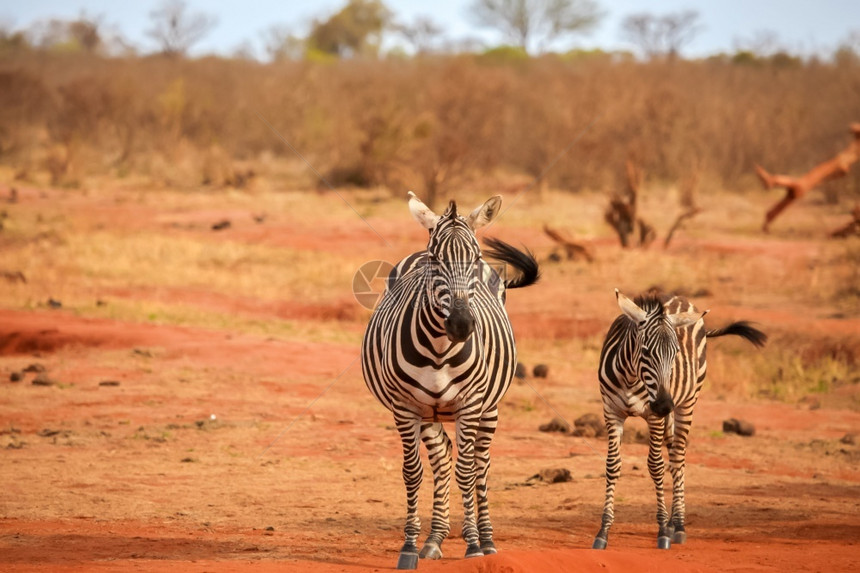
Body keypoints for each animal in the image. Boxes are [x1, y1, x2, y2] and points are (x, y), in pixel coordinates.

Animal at [362, 192, 536, 568]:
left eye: (476, 258)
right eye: (434, 259)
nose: (461, 324)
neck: (440, 349)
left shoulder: (470, 404)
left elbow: (466, 473)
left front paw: (473, 545)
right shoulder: (406, 407)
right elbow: (413, 472)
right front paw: (409, 546)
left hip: (490, 408)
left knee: (481, 465)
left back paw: (486, 539)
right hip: (430, 412)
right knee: (442, 458)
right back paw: (434, 539)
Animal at [592, 290, 764, 548]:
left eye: (675, 354)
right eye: (645, 352)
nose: (664, 404)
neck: (631, 377)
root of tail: (679, 298)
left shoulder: (654, 417)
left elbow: (655, 466)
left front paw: (663, 530)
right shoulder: (611, 412)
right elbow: (612, 466)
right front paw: (603, 531)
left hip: (687, 402)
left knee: (678, 457)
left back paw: (679, 525)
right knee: (673, 454)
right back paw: (674, 523)